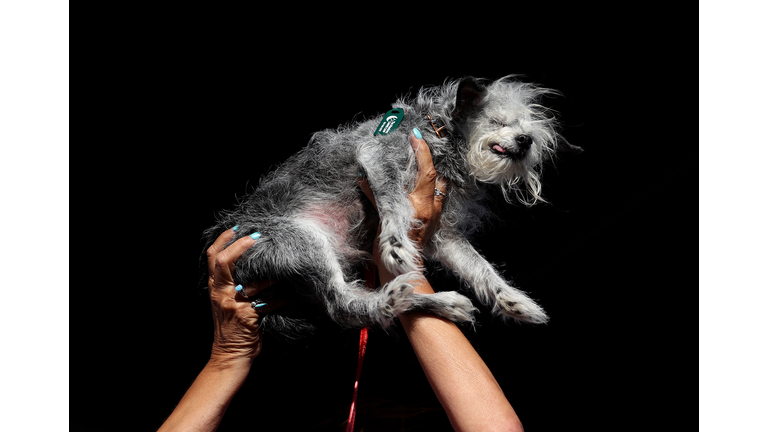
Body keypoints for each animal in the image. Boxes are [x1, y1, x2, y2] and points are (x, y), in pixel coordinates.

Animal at [201, 76, 572, 340]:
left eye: (526, 127)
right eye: (497, 121)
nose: (526, 140)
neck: (440, 131)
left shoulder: (443, 235)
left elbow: (481, 268)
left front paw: (512, 300)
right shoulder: (377, 155)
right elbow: (394, 201)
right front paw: (395, 245)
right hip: (302, 241)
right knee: (344, 305)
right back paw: (415, 298)